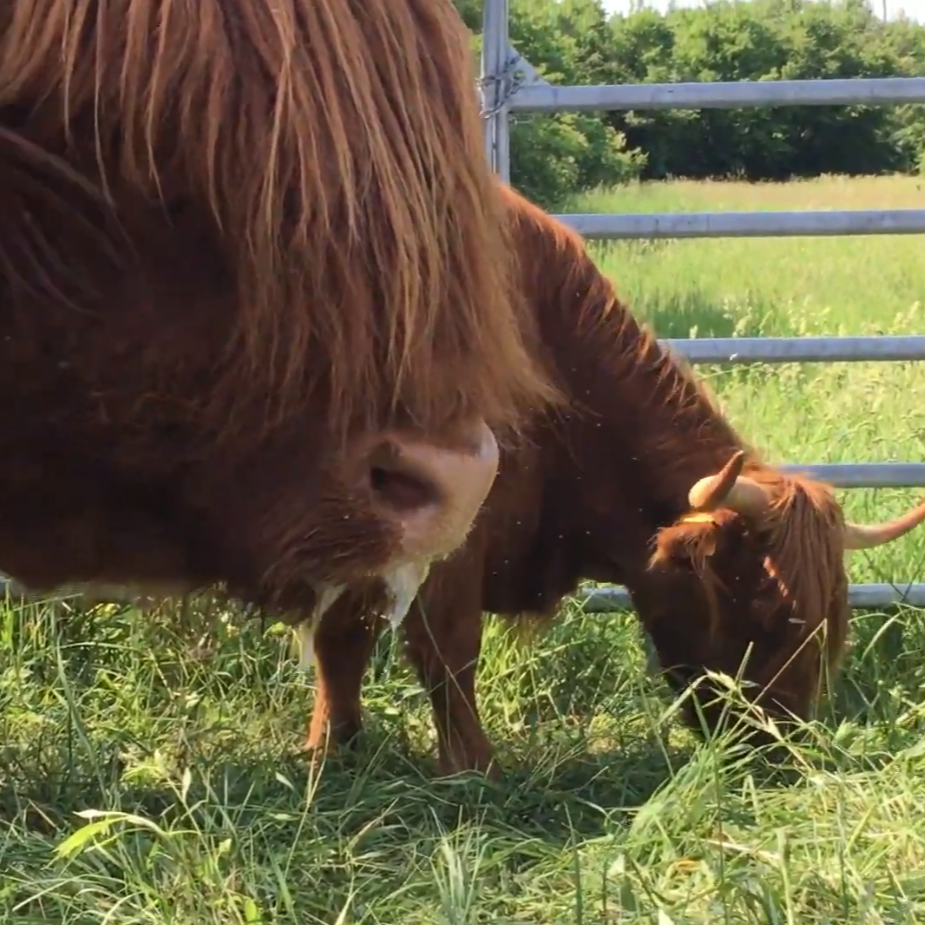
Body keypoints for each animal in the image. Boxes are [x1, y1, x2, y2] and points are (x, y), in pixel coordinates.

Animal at [304, 184, 925, 777]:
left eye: (832, 620)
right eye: (771, 611)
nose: (781, 746)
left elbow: (342, 641)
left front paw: (333, 750)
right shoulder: (445, 542)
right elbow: (442, 650)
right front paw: (471, 769)